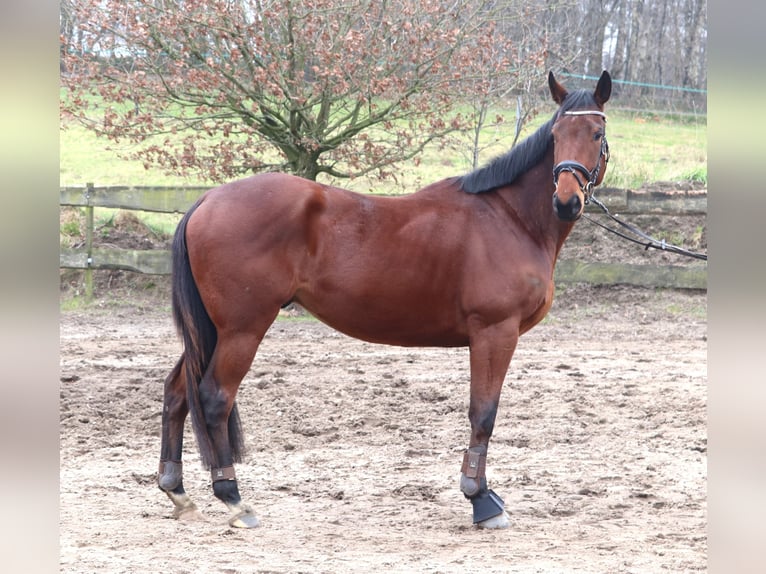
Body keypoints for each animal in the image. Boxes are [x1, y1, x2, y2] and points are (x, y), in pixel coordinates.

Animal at [159, 71, 616, 532]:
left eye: (596, 133)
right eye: (556, 136)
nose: (566, 201)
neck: (509, 217)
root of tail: (207, 200)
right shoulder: (494, 333)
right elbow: (483, 414)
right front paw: (481, 500)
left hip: (211, 330)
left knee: (178, 391)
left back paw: (177, 491)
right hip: (242, 329)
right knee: (215, 397)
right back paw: (233, 499)